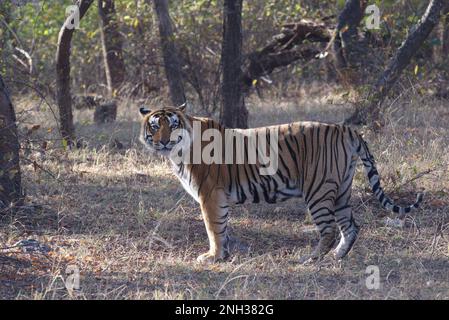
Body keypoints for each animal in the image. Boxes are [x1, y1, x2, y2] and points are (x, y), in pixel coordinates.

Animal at [138, 104, 422, 264]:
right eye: (154, 126)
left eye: (172, 125)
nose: (163, 141)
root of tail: (346, 129)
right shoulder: (218, 198)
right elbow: (223, 228)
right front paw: (225, 256)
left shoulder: (210, 195)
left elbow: (213, 228)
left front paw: (213, 257)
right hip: (342, 190)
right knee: (351, 226)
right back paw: (337, 257)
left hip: (318, 190)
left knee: (329, 229)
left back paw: (311, 260)